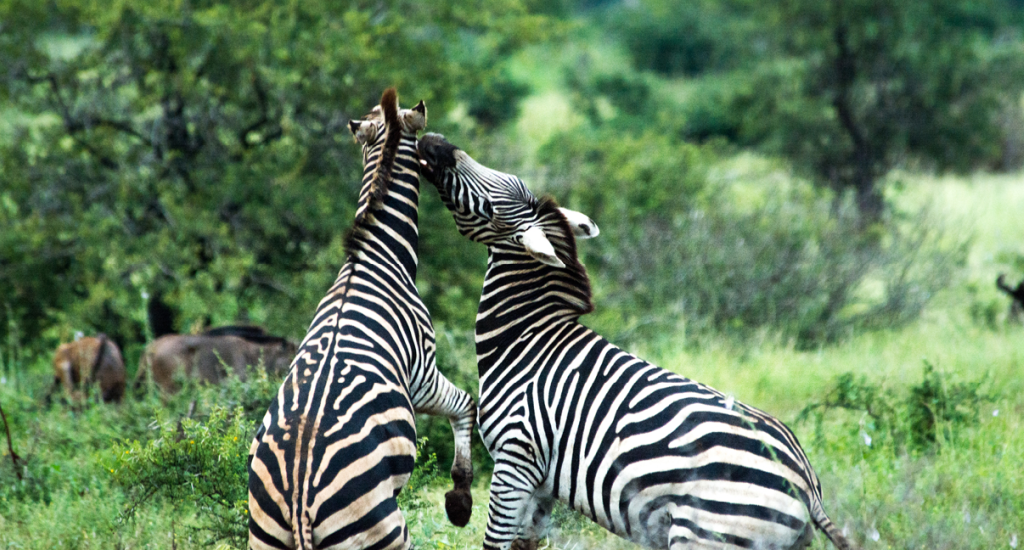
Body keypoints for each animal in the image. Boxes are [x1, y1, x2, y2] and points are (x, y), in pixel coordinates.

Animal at [247, 90, 476, 550]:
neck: (373, 256)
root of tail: (298, 497)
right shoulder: (422, 373)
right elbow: (465, 404)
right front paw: (460, 498)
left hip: (263, 535)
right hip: (382, 529)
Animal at [416, 133, 857, 550]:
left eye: (490, 207)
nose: (435, 143)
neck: (525, 340)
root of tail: (807, 485)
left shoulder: (516, 458)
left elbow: (494, 539)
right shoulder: (542, 482)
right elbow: (525, 542)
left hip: (706, 532)